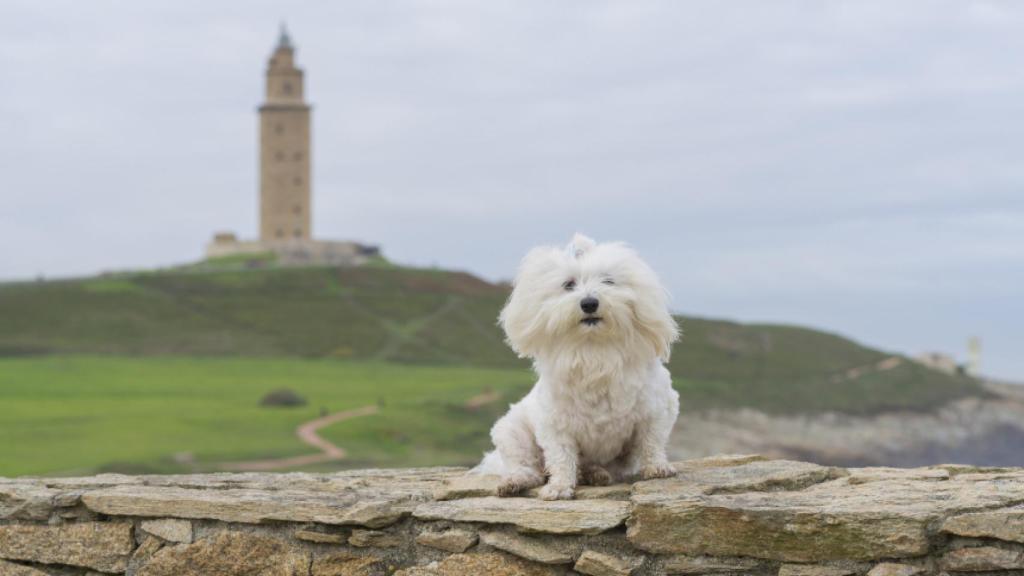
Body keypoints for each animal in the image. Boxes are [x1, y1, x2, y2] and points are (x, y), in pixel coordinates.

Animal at [473, 233, 679, 498]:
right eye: (568, 284)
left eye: (608, 281)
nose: (589, 303)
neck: (594, 350)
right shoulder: (555, 425)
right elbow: (561, 457)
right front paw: (559, 486)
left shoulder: (656, 411)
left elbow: (651, 443)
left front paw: (657, 467)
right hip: (512, 433)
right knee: (530, 468)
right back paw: (515, 481)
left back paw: (594, 474)